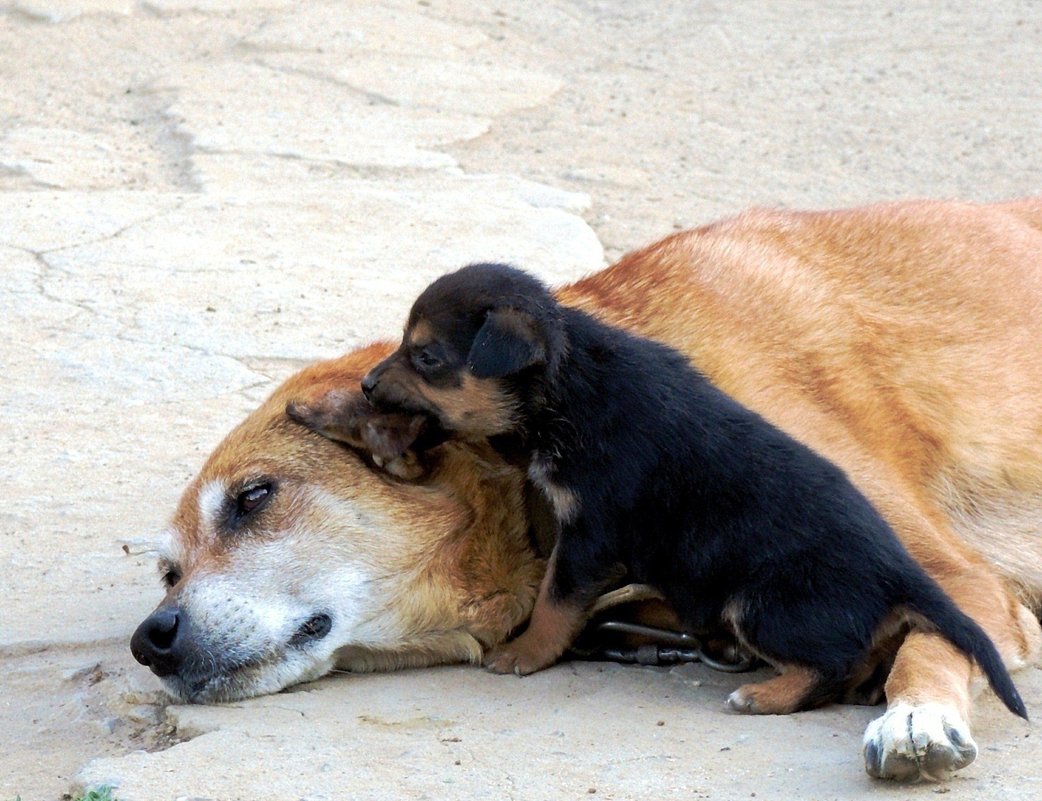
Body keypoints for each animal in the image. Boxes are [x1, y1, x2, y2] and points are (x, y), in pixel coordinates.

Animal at [354, 264, 1021, 716]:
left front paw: (523, 654)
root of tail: (896, 571)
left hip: (761, 601)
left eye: (426, 357)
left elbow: (553, 601)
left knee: (832, 661)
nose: (364, 387)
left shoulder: (590, 535)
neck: (570, 380)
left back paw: (766, 695)